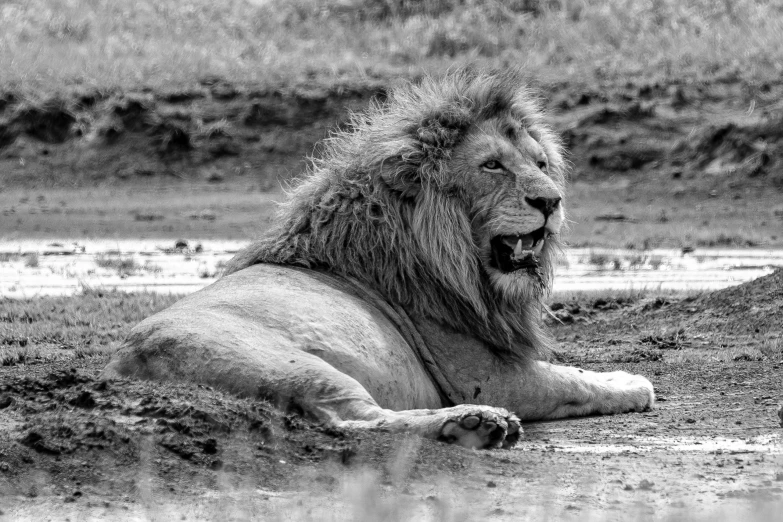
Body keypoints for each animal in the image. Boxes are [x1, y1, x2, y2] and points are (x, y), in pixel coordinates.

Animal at [104, 68, 656, 446]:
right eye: (492, 166)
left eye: (541, 163)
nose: (551, 201)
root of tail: (123, 362)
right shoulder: (488, 376)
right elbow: (576, 381)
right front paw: (631, 381)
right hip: (290, 364)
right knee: (357, 420)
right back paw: (474, 424)